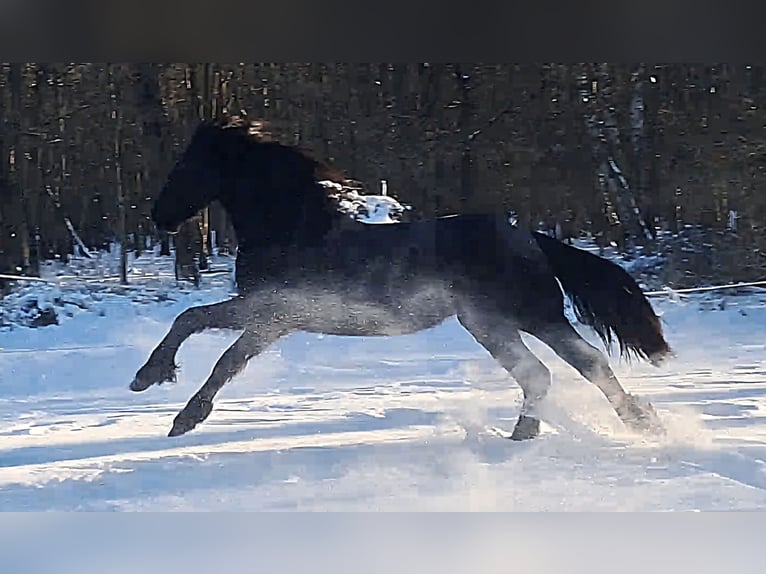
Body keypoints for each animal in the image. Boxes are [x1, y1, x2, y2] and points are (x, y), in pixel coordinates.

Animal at [131, 115, 672, 441]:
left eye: (188, 163)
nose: (160, 217)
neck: (294, 229)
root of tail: (530, 238)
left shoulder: (271, 313)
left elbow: (200, 330)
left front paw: (166, 396)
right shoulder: (271, 319)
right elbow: (216, 345)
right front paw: (166, 393)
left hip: (530, 316)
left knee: (581, 364)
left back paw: (629, 424)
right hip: (492, 323)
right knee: (548, 371)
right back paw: (538, 434)